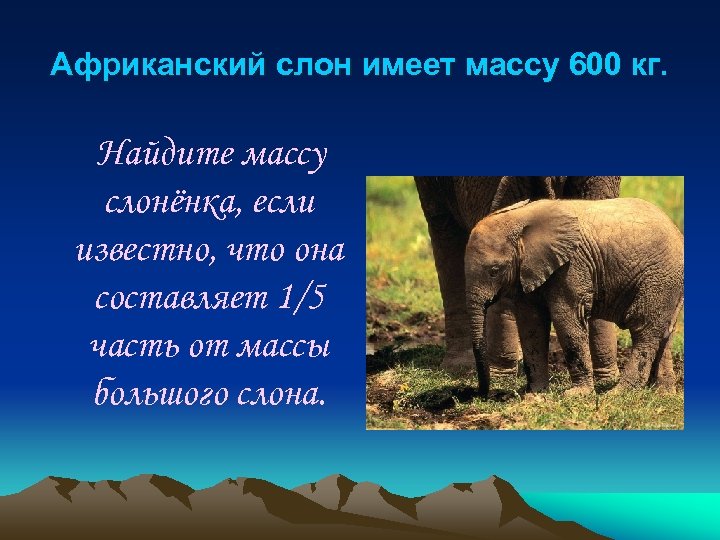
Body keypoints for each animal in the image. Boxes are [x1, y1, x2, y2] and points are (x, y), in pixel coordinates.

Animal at [465, 198, 684, 398]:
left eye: (494, 271)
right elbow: (531, 324)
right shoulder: (527, 272)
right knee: (664, 333)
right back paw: (663, 393)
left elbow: (566, 318)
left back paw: (618, 393)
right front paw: (535, 394)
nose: (483, 395)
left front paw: (577, 394)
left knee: (643, 330)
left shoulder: (572, 266)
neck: (520, 219)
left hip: (658, 279)